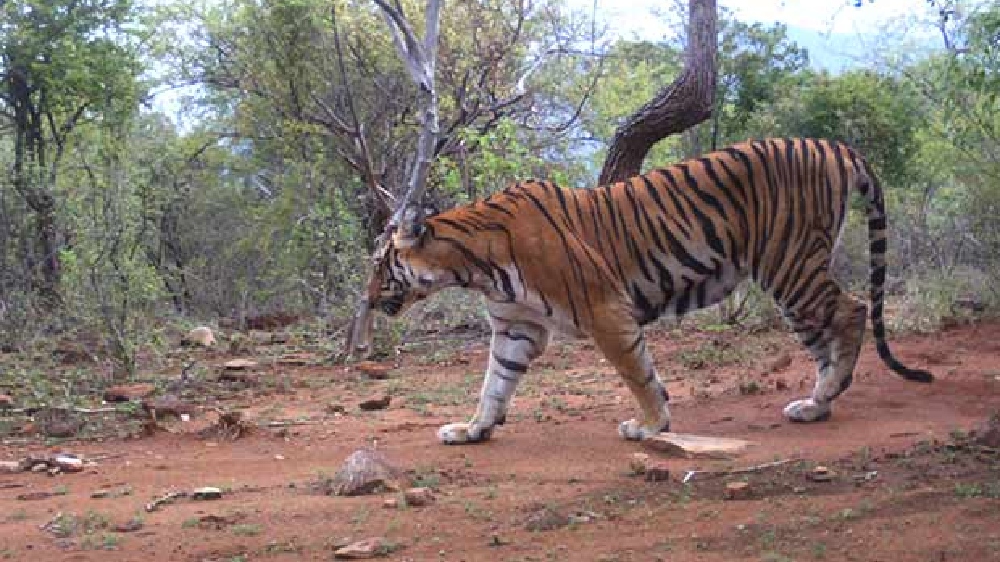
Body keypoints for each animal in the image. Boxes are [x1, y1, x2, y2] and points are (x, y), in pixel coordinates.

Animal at [363, 137, 933, 445]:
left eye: (379, 265)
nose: (367, 301)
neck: (474, 264)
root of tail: (831, 144)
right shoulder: (516, 325)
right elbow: (494, 384)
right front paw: (473, 430)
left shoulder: (604, 310)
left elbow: (637, 372)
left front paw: (652, 425)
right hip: (792, 280)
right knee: (827, 332)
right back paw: (816, 404)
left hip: (790, 265)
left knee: (854, 309)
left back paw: (827, 392)